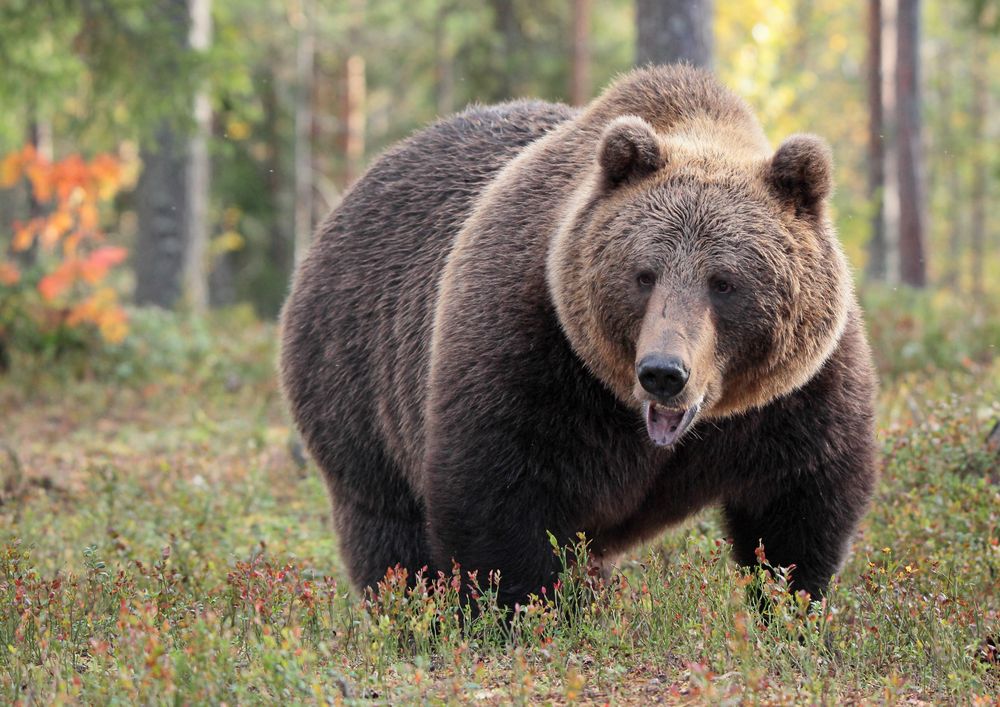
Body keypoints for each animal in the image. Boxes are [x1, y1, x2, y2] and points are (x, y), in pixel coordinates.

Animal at [280, 68, 876, 608]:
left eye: (724, 282)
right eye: (644, 274)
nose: (663, 372)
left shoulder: (795, 396)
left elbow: (801, 506)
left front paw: (791, 606)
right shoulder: (533, 352)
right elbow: (500, 502)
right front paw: (521, 613)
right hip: (356, 379)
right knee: (388, 533)